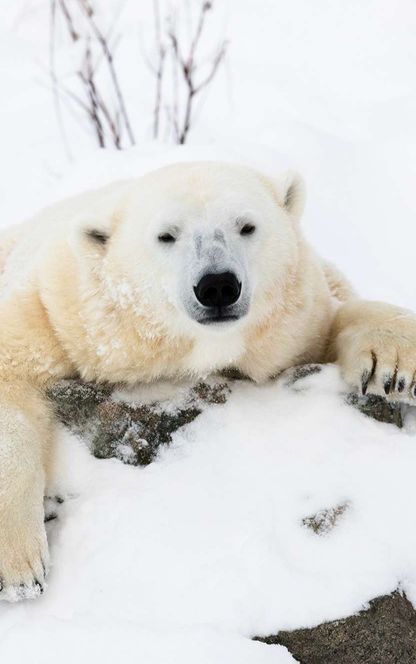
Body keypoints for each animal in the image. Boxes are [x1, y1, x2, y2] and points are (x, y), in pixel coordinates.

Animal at [0, 162, 416, 600]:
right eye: (166, 235)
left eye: (247, 226)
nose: (217, 285)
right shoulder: (60, 312)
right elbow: (12, 376)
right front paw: (19, 568)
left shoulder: (295, 320)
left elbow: (334, 318)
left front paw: (393, 365)